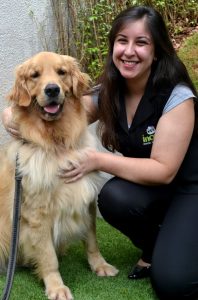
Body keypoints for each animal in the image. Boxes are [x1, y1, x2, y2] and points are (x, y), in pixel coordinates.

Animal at [0, 52, 117, 300]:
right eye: (35, 75)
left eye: (61, 72)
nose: (52, 89)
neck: (57, 144)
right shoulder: (37, 214)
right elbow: (48, 257)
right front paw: (55, 287)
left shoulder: (86, 200)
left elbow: (92, 241)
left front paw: (99, 265)